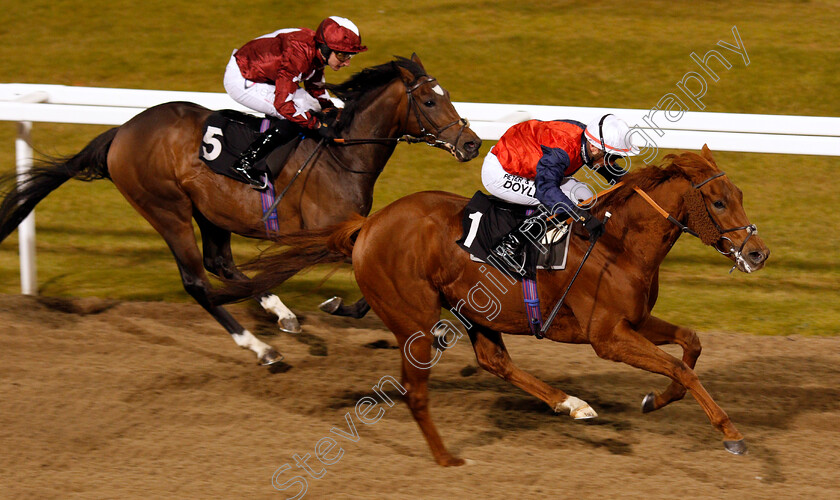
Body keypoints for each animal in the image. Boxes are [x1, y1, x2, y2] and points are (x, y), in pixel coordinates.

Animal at [0, 54, 480, 366]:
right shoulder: (328, 235)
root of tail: (121, 133)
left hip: (211, 213)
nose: (472, 143)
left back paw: (282, 315)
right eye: (430, 101)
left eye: (448, 95)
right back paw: (261, 348)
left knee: (221, 264)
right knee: (197, 282)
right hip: (167, 209)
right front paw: (346, 307)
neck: (340, 154)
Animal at [217, 145, 768, 464]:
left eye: (740, 192)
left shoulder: (635, 321)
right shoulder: (607, 338)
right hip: (415, 319)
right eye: (719, 201)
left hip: (475, 311)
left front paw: (656, 400)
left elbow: (690, 347)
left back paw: (571, 403)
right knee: (420, 390)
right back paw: (446, 458)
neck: (619, 244)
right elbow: (682, 368)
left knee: (493, 360)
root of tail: (368, 226)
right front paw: (731, 432)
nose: (759, 253)